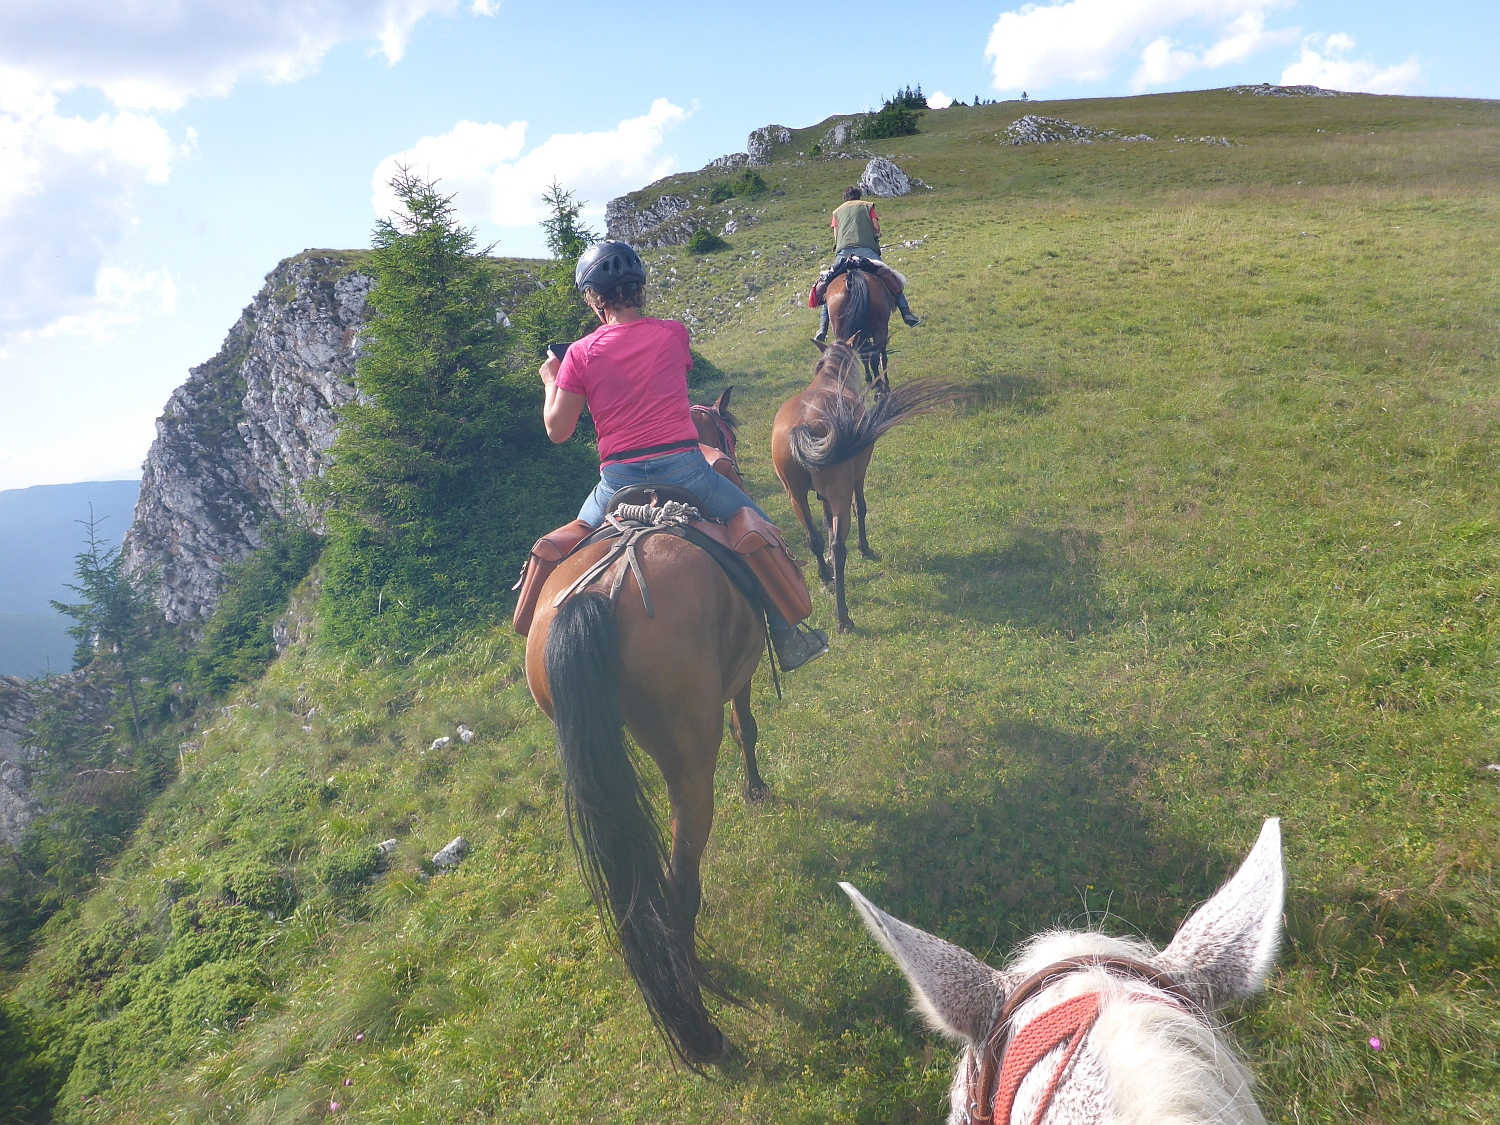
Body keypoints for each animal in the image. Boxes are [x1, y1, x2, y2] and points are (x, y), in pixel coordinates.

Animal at [528, 483, 768, 1068]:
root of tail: (600, 594)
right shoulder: (741, 673)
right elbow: (745, 725)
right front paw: (756, 786)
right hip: (689, 763)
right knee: (680, 884)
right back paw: (704, 1025)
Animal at [774, 343, 960, 636]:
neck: (829, 380)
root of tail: (802, 424)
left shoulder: (821, 495)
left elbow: (825, 523)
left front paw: (828, 561)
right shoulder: (857, 476)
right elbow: (860, 508)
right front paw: (864, 548)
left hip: (795, 496)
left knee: (813, 538)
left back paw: (826, 578)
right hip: (839, 491)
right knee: (840, 545)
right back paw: (843, 616)